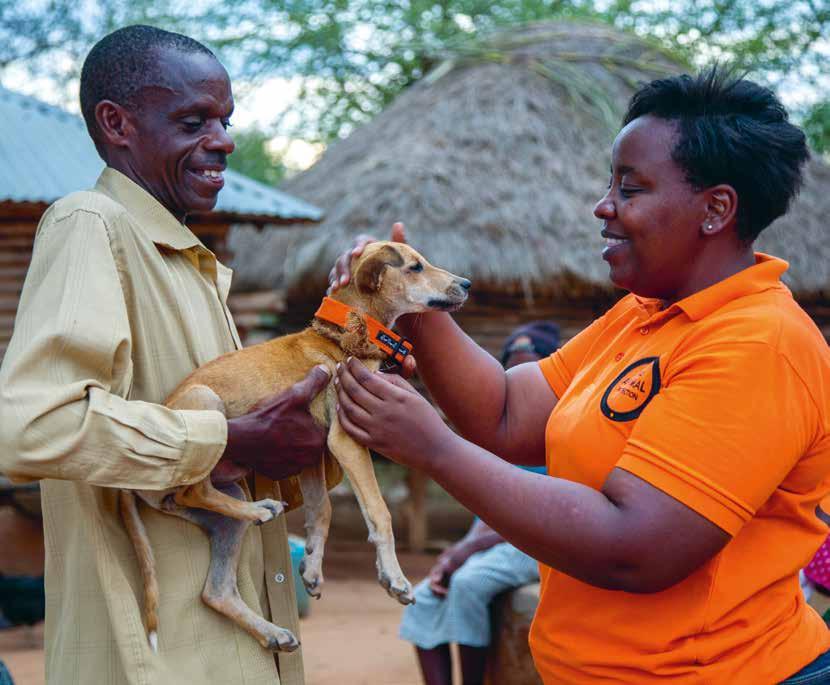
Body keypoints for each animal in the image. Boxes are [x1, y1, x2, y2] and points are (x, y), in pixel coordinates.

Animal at [117, 240, 472, 652]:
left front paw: (314, 568)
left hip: (223, 515)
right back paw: (258, 510)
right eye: (416, 267)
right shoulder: (344, 441)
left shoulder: (312, 451)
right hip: (205, 405)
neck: (345, 334)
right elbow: (379, 512)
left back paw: (271, 630)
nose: (467, 284)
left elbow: (322, 511)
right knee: (197, 487)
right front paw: (395, 578)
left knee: (215, 589)